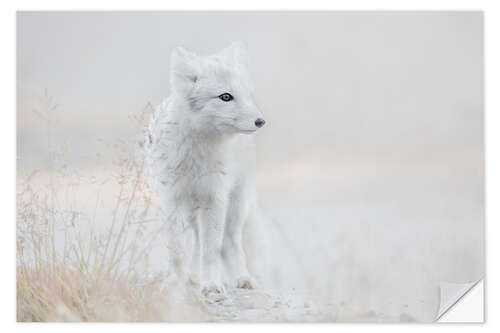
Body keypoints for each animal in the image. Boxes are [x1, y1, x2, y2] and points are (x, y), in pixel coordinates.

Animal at [145, 41, 266, 294]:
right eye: (226, 96)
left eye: (248, 95)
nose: (260, 121)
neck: (195, 156)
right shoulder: (171, 200)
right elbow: (177, 251)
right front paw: (178, 283)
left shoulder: (214, 198)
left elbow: (211, 251)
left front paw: (211, 285)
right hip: (193, 212)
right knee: (197, 242)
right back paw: (193, 277)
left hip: (234, 206)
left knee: (229, 242)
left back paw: (241, 278)